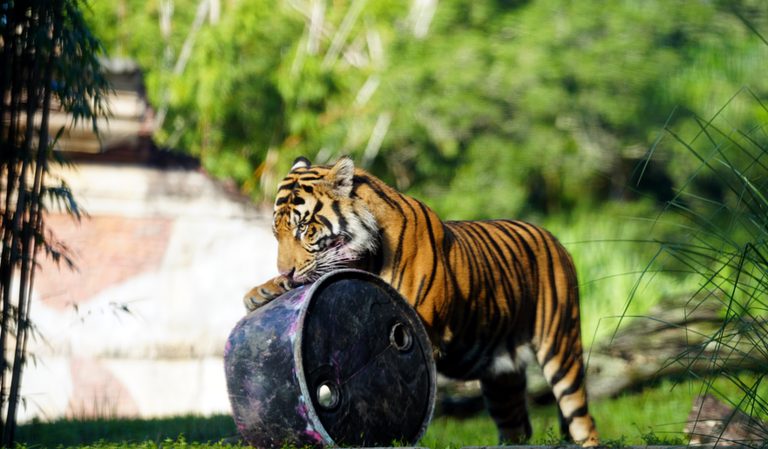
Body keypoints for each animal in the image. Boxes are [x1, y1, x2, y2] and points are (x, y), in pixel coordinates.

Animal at [244, 156, 599, 446]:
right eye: (277, 233)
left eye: (305, 228)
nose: (286, 271)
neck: (366, 256)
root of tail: (555, 239)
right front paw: (262, 291)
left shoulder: (421, 326)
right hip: (502, 379)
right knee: (517, 429)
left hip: (561, 347)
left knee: (582, 419)